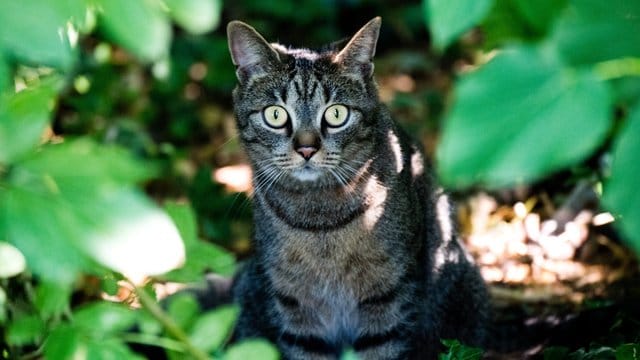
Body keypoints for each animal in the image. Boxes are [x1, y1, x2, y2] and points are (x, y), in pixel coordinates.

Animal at [226, 17, 490, 360]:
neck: (320, 222)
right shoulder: (294, 304)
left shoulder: (388, 295)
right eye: (275, 114)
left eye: (336, 113)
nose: (307, 149)